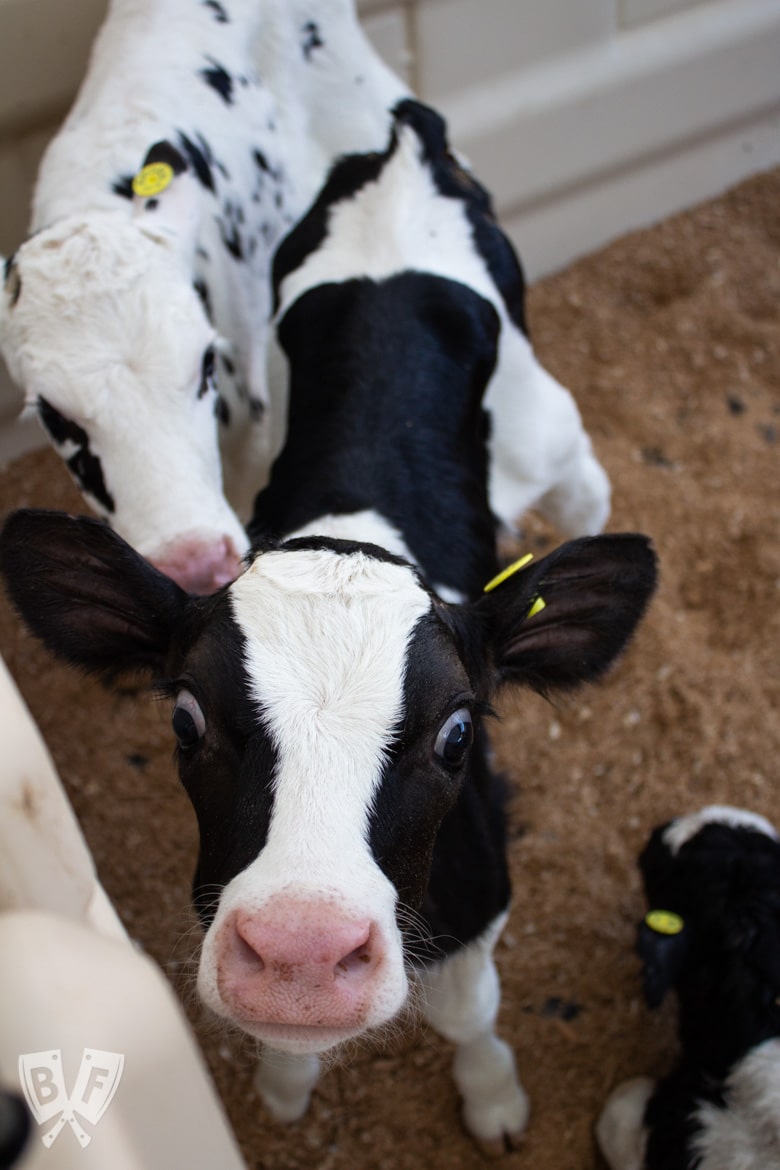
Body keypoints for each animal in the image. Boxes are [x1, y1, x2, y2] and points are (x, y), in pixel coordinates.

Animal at [0, 102, 659, 1160]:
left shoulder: (481, 884)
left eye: (459, 732)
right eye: (185, 719)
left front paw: (493, 1100)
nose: (301, 953)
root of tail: (406, 138)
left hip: (546, 429)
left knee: (580, 476)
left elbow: (468, 1011)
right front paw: (284, 1082)